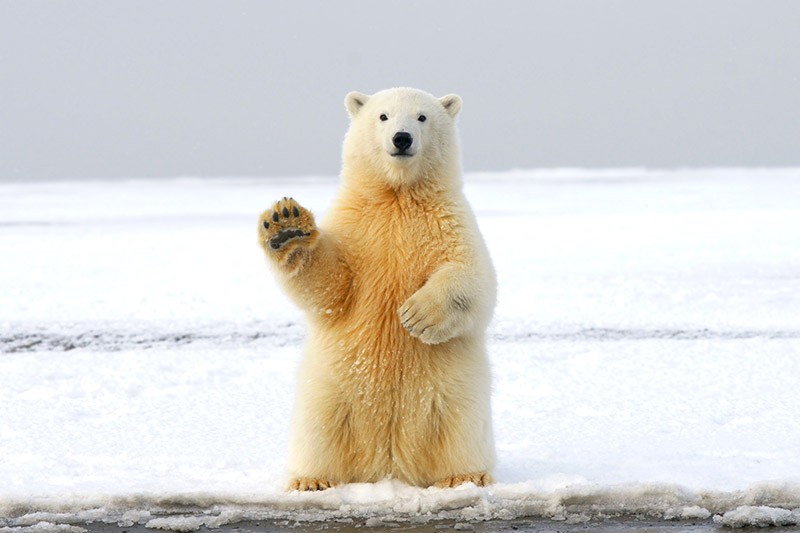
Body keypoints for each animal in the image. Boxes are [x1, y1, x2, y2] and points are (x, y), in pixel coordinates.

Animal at [257, 87, 496, 491]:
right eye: (383, 116)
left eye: (422, 117)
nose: (402, 138)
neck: (397, 195)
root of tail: (389, 465)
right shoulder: (356, 227)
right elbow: (332, 286)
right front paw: (287, 226)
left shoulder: (450, 222)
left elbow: (473, 277)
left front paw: (416, 315)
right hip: (330, 391)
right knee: (319, 430)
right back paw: (311, 480)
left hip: (454, 393)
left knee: (460, 428)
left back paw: (465, 476)